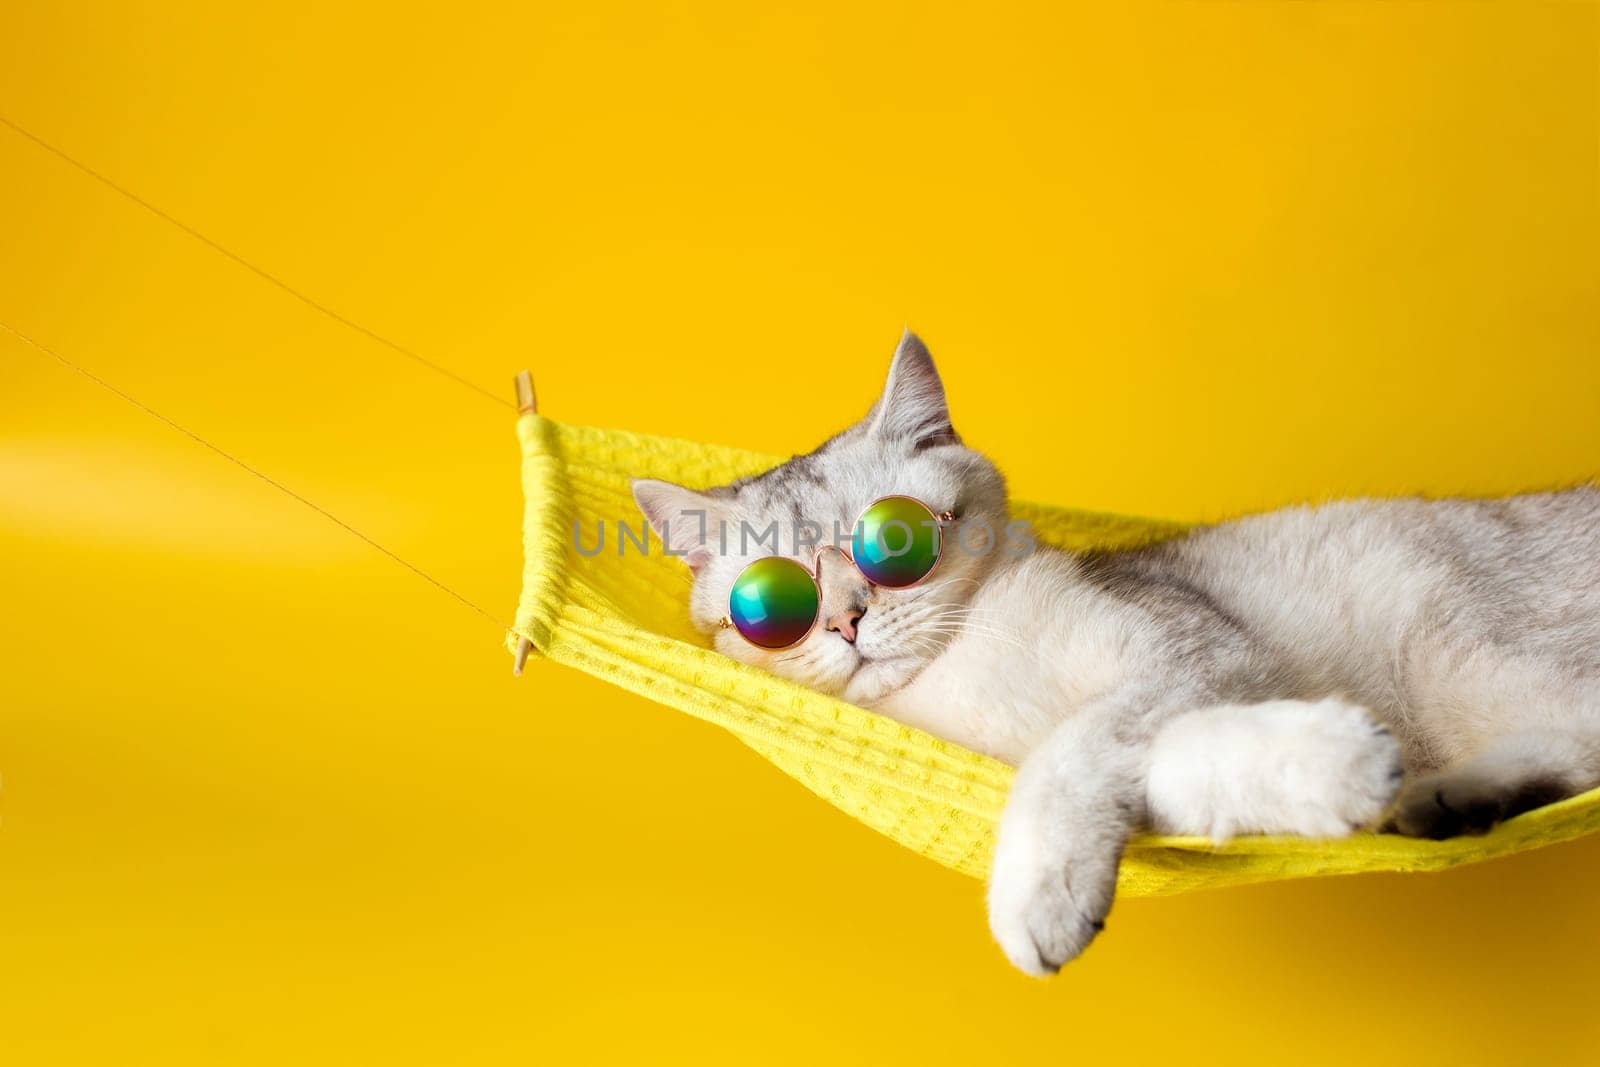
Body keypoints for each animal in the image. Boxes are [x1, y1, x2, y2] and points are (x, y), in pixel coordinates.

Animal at [630, 334, 1593, 979]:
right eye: (770, 604)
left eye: (891, 542)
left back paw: (1450, 790)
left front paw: (1042, 890)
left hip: (1456, 640)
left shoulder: (1200, 656)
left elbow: (1081, 749)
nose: (845, 620)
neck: (957, 680)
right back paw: (1456, 799)